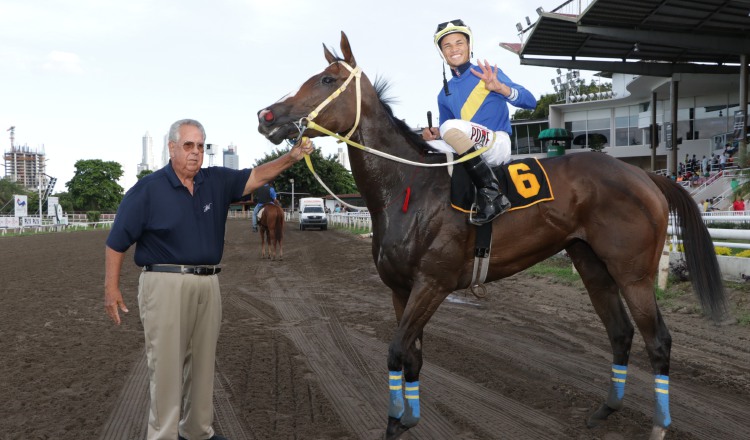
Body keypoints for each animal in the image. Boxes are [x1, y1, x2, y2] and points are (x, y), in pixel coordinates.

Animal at [258, 31, 728, 440]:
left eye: (326, 80)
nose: (266, 116)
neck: (409, 187)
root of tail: (644, 174)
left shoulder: (432, 284)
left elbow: (395, 351)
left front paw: (393, 423)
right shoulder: (400, 288)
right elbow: (413, 356)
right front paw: (409, 418)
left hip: (632, 272)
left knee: (658, 341)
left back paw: (659, 425)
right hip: (592, 264)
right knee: (620, 333)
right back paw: (605, 410)